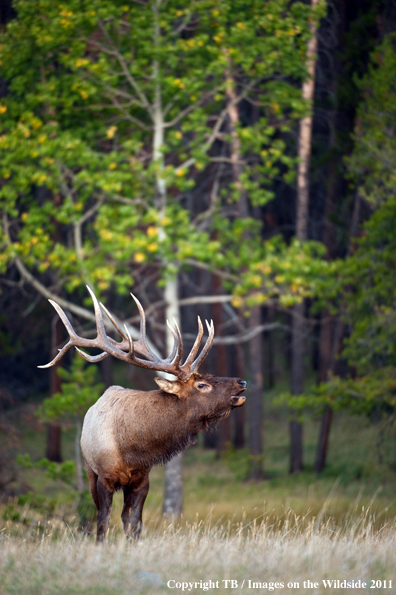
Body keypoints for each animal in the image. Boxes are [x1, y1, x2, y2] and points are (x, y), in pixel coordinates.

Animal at [38, 288, 246, 544]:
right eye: (202, 385)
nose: (242, 382)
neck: (132, 450)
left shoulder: (141, 480)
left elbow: (135, 523)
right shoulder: (104, 477)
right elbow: (103, 521)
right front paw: (100, 546)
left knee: (125, 516)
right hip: (89, 471)